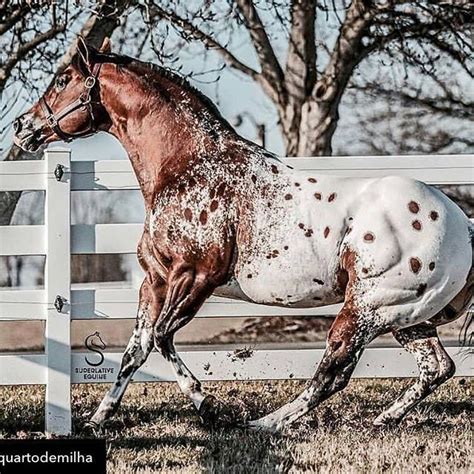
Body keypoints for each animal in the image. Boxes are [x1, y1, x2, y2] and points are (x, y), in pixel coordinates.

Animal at [12, 39, 472, 432]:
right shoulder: (155, 280)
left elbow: (161, 338)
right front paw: (97, 419)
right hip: (408, 316)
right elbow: (135, 350)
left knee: (333, 371)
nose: (21, 126)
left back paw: (264, 424)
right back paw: (382, 418)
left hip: (368, 308)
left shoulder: (195, 276)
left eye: (62, 79)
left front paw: (208, 406)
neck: (187, 166)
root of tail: (462, 224)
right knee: (436, 367)